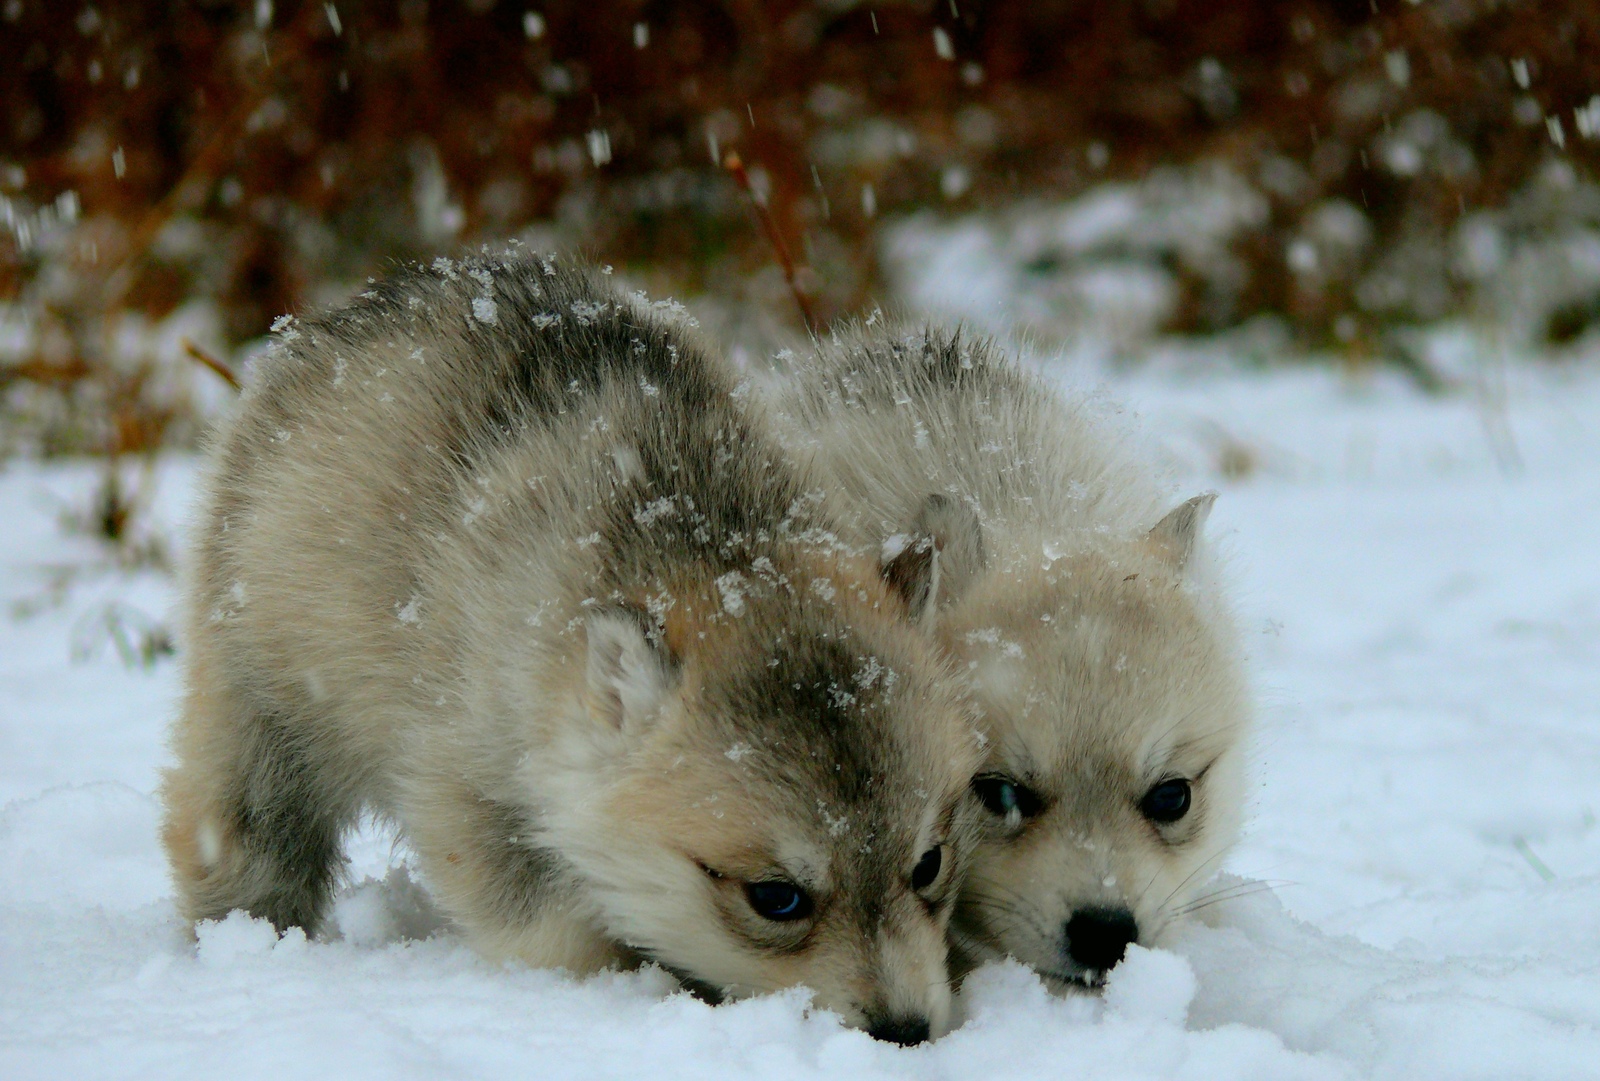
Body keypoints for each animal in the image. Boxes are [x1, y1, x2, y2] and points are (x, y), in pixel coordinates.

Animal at [165, 257, 985, 1042]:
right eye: (775, 897)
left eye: (930, 862)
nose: (906, 1031)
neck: (707, 536)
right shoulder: (468, 781)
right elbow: (556, 928)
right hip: (264, 697)